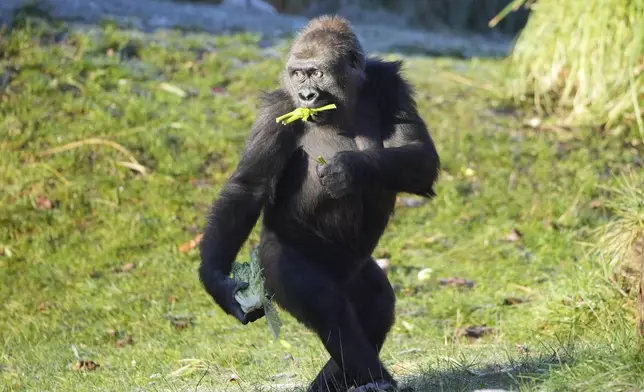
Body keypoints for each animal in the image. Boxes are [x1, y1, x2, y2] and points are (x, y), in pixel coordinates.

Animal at [199, 13, 440, 390]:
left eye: (316, 72)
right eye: (298, 74)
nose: (307, 95)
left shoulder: (391, 84)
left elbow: (420, 155)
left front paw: (349, 168)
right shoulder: (278, 111)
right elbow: (248, 188)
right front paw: (215, 281)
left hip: (353, 271)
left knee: (376, 307)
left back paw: (345, 379)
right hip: (276, 260)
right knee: (329, 306)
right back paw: (374, 378)